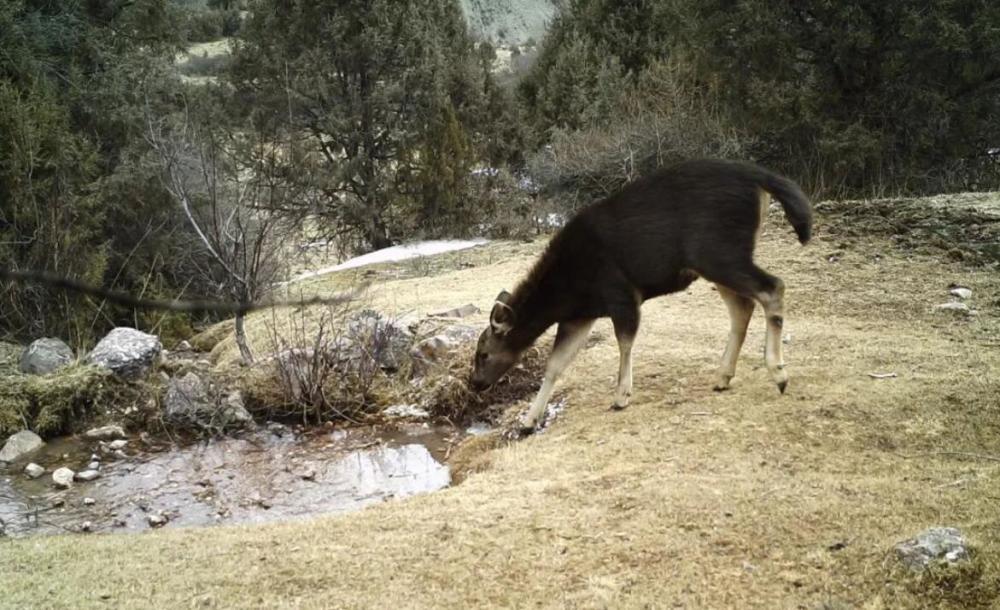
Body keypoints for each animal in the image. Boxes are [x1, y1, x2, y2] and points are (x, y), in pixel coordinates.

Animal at [468, 159, 812, 430]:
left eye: (483, 353)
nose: (475, 384)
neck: (567, 292)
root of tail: (760, 179)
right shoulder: (580, 315)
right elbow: (555, 364)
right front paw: (529, 420)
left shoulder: (620, 292)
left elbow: (624, 342)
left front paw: (622, 396)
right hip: (714, 260)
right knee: (743, 306)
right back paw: (723, 376)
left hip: (720, 252)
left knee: (772, 287)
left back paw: (778, 373)